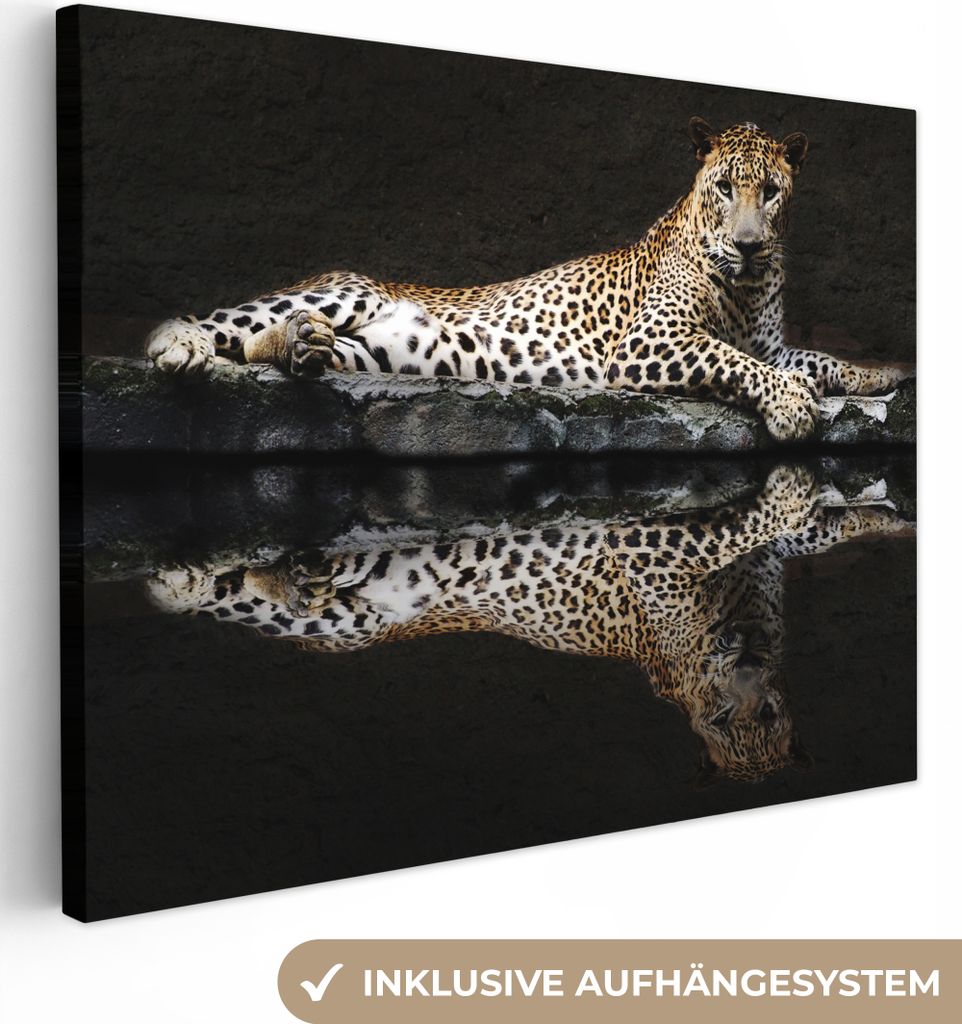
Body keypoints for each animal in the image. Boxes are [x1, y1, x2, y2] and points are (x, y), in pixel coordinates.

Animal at [145, 117, 907, 442]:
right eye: (724, 188)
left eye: (771, 192)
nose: (749, 245)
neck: (745, 287)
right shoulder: (652, 342)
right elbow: (736, 361)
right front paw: (791, 406)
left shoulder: (772, 343)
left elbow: (819, 358)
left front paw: (883, 374)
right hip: (345, 289)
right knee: (222, 324)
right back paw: (181, 346)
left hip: (380, 348)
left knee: (271, 343)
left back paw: (301, 345)